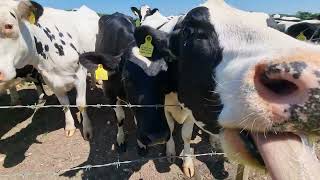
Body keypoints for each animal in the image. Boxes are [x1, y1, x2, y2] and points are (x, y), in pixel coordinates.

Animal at [0, 0, 99, 139]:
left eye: (8, 26)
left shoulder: (79, 76)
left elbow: (81, 104)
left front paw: (87, 128)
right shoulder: (51, 81)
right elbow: (65, 104)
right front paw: (70, 126)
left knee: (93, 71)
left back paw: (94, 85)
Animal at [79, 12, 171, 155]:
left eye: (165, 77)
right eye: (127, 79)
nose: (157, 137)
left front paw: (141, 144)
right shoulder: (110, 95)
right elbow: (120, 118)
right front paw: (120, 139)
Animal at [134, 0, 320, 179]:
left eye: (274, 27)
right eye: (189, 31)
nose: (312, 73)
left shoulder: (190, 111)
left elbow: (186, 134)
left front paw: (187, 162)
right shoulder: (164, 104)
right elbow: (171, 128)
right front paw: (171, 151)